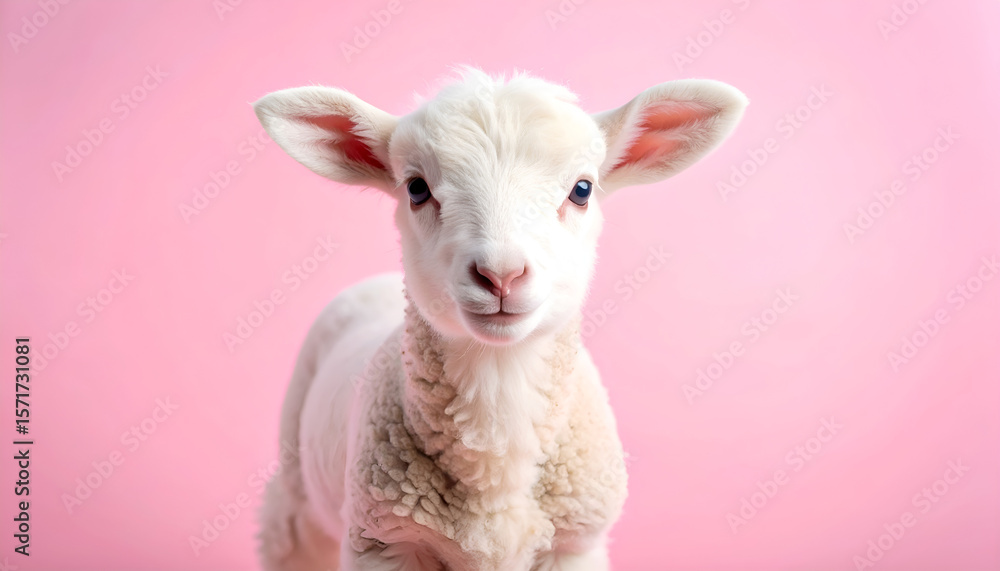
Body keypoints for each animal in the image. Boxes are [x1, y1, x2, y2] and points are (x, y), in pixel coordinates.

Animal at [252, 68, 747, 571]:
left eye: (582, 190)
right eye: (416, 189)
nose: (501, 275)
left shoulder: (576, 544)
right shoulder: (384, 543)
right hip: (296, 497)